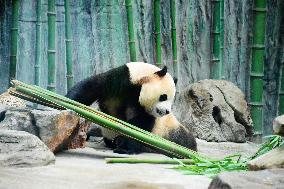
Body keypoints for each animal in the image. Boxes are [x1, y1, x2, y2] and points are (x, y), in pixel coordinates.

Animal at [66, 62, 196, 154]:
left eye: (172, 101)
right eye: (164, 97)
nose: (167, 111)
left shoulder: (145, 110)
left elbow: (139, 127)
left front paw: (124, 147)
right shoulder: (122, 79)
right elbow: (91, 87)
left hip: (171, 132)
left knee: (185, 142)